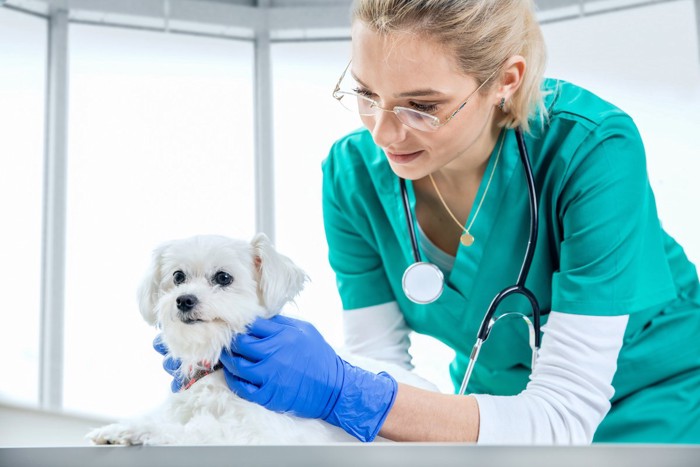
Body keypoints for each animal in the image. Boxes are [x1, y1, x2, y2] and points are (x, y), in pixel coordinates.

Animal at [89, 234, 438, 446]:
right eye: (177, 277)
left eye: (223, 278)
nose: (184, 300)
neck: (216, 365)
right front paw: (115, 429)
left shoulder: (255, 431)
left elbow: (194, 431)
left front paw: (137, 431)